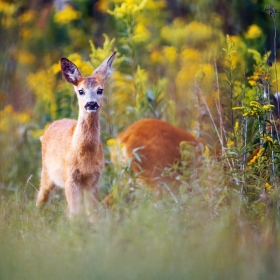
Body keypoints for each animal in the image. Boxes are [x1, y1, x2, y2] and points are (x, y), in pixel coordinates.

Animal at [36, 51, 117, 215]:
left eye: (100, 90)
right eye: (81, 91)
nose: (91, 104)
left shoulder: (94, 178)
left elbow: (92, 212)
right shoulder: (70, 178)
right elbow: (75, 213)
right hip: (46, 172)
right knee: (40, 196)